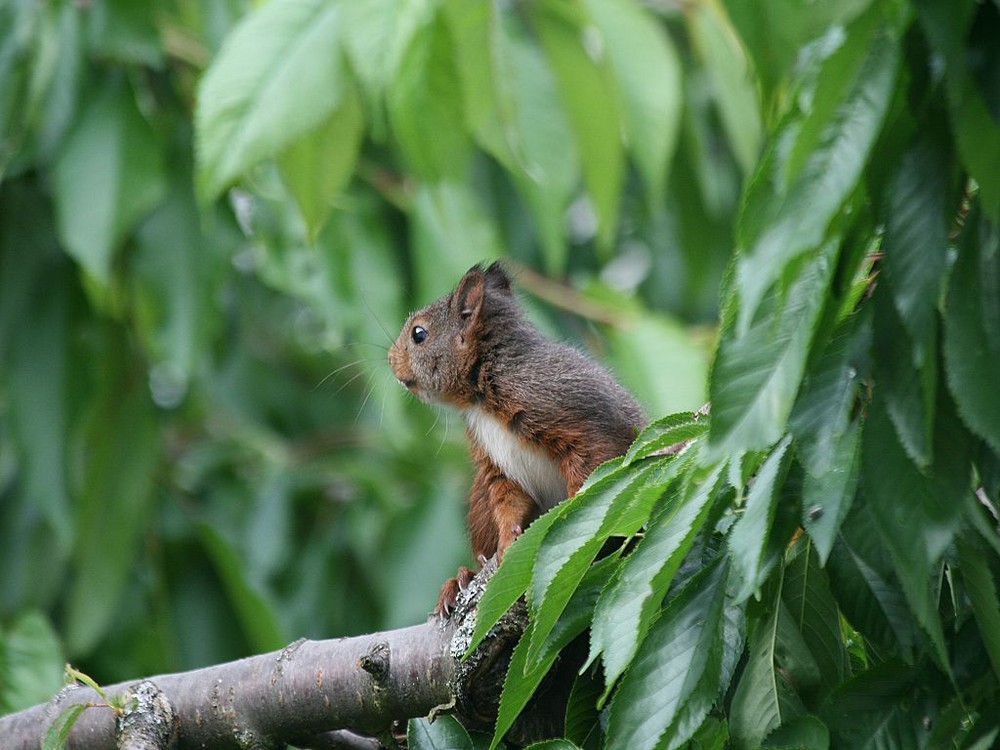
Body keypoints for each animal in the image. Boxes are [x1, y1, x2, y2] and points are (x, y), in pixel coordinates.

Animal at [386, 264, 644, 616]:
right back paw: (461, 578)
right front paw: (508, 544)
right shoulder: (495, 464)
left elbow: (590, 469)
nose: (389, 359)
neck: (483, 393)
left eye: (419, 334)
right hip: (479, 502)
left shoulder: (579, 420)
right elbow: (509, 503)